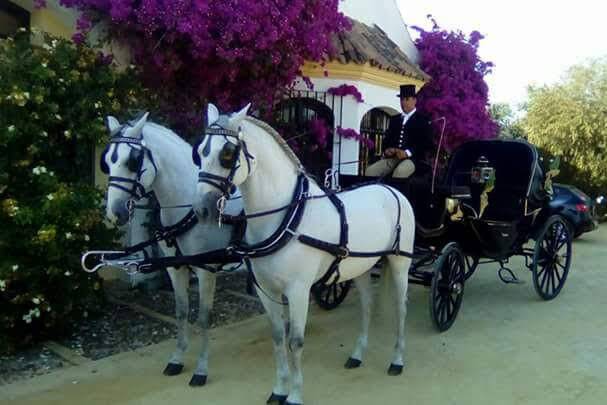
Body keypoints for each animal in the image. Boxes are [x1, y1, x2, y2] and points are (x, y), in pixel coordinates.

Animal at [101, 113, 241, 386]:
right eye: (108, 160)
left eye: (133, 160)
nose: (115, 213)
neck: (187, 204)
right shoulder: (175, 268)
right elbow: (181, 311)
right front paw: (177, 359)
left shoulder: (206, 269)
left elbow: (204, 318)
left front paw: (201, 369)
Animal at [195, 105, 418, 404]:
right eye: (200, 151)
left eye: (228, 154)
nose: (202, 210)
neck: (288, 216)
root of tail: (391, 189)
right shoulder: (266, 289)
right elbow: (278, 337)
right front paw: (279, 390)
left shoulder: (298, 290)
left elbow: (296, 341)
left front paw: (294, 395)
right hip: (359, 267)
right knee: (367, 306)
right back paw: (357, 355)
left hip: (400, 262)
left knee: (400, 308)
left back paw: (397, 360)